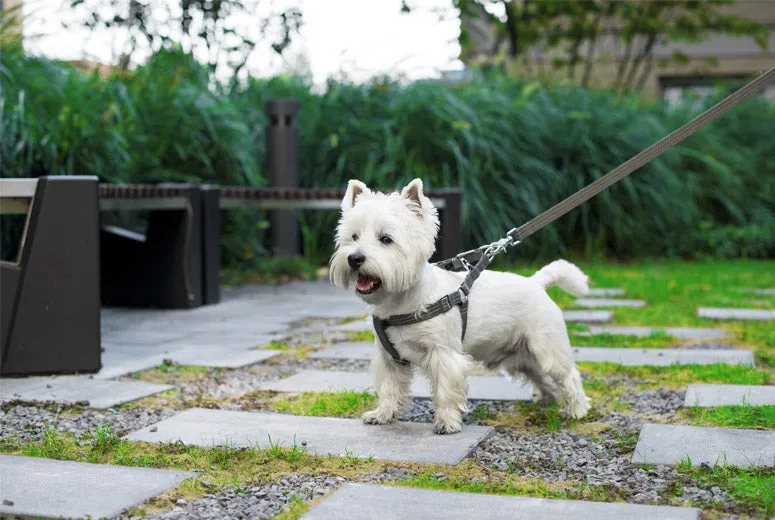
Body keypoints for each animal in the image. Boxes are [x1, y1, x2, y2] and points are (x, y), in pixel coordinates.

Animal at [330, 179, 592, 434]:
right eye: (353, 237)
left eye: (386, 239)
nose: (354, 258)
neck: (400, 304)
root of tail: (536, 282)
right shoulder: (390, 359)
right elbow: (389, 388)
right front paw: (382, 415)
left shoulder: (444, 354)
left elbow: (445, 390)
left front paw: (447, 423)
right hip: (521, 358)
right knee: (541, 377)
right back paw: (547, 401)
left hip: (546, 346)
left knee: (568, 375)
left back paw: (576, 410)